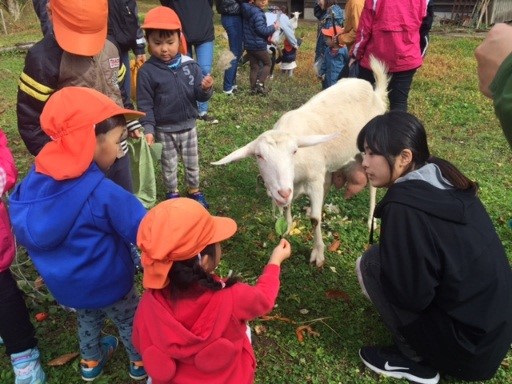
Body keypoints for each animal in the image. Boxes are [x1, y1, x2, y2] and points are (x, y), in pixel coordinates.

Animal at [212, 57, 388, 268]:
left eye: (294, 151)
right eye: (259, 156)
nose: (282, 192)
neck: (295, 174)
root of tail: (374, 93)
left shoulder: (313, 179)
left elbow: (315, 220)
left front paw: (318, 253)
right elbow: (288, 207)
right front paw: (287, 227)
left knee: (372, 187)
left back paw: (371, 221)